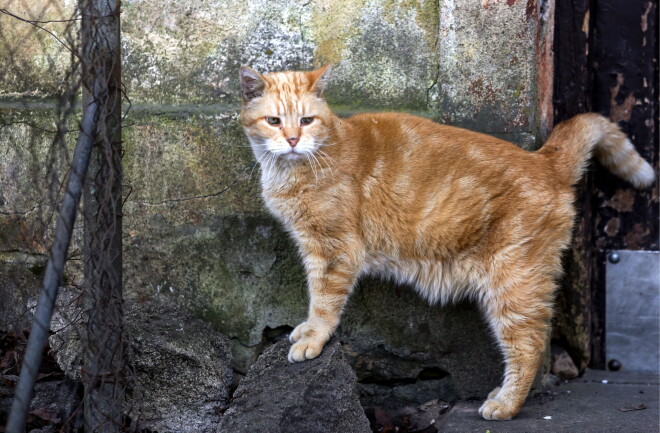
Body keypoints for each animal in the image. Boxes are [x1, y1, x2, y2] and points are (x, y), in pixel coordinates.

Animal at [237, 65, 656, 418]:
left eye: (306, 120)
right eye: (274, 121)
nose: (293, 140)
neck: (299, 165)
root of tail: (543, 160)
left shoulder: (334, 250)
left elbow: (324, 302)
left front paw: (313, 339)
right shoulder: (313, 248)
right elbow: (314, 298)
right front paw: (306, 329)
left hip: (512, 285)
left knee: (529, 346)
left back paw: (505, 405)